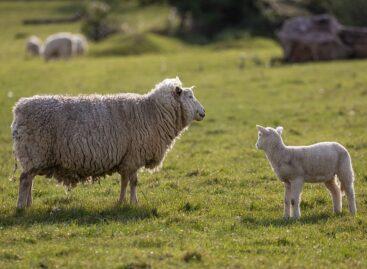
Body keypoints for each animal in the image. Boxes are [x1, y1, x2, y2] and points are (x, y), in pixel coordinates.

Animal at [11, 76, 206, 208]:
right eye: (190, 97)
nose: (203, 112)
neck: (152, 112)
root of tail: (19, 108)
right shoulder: (134, 156)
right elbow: (133, 182)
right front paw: (134, 202)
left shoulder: (126, 159)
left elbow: (124, 182)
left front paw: (121, 202)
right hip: (34, 151)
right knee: (24, 179)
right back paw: (21, 206)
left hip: (34, 156)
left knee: (29, 180)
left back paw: (29, 203)